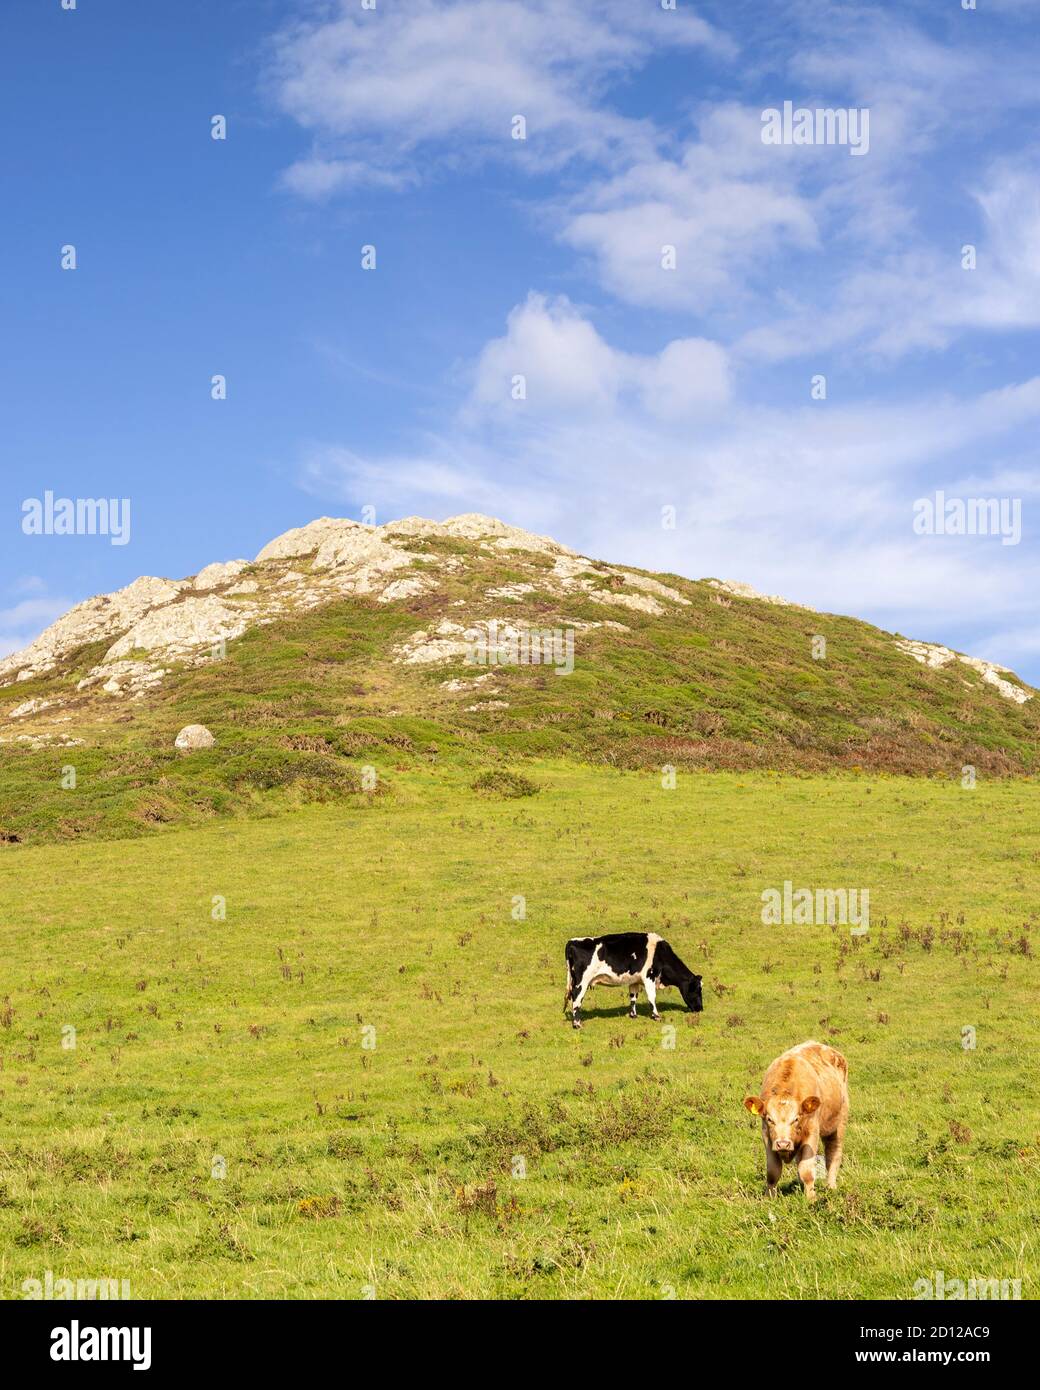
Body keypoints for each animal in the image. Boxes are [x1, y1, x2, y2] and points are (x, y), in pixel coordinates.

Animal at [564, 932, 703, 1029]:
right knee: (576, 998)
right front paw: (656, 1016)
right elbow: (651, 997)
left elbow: (633, 996)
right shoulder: (649, 976)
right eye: (697, 990)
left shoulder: (635, 980)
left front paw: (633, 1015)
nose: (700, 1009)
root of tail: (572, 942)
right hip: (582, 981)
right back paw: (577, 1024)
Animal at [743, 1040, 849, 1201]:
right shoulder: (767, 1136)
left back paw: (830, 1186)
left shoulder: (812, 1133)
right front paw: (769, 1198)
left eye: (796, 1119)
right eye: (770, 1119)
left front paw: (811, 1198)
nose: (783, 1143)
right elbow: (773, 1172)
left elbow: (807, 1170)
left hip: (838, 1124)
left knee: (833, 1153)